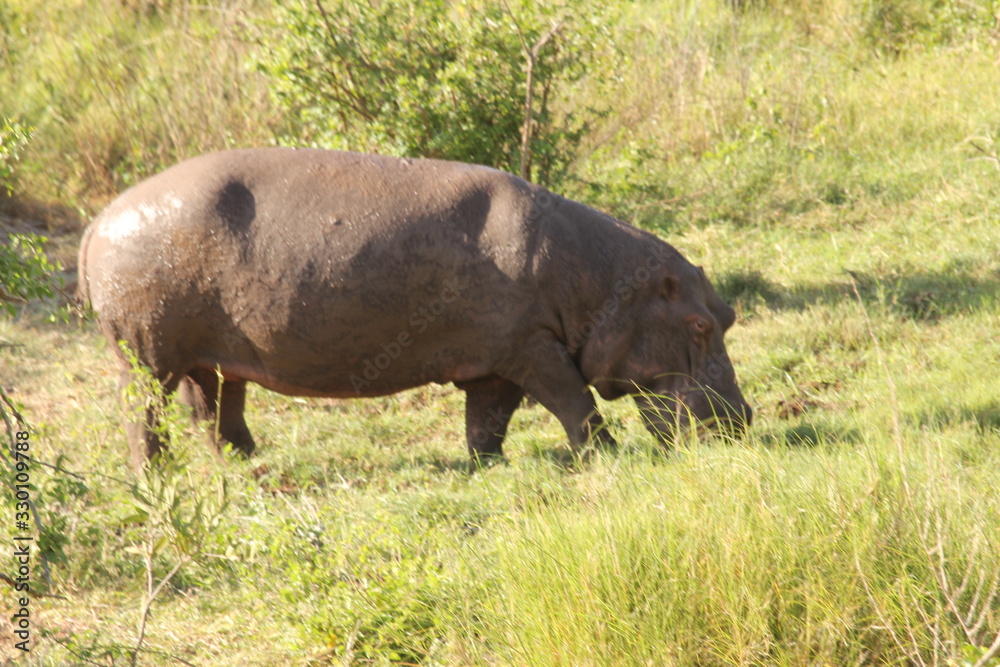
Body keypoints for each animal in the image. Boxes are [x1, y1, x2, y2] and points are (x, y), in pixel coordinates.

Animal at [77, 148, 751, 468]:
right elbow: (574, 401)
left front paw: (488, 465)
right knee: (144, 418)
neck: (602, 282)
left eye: (729, 315)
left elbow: (488, 419)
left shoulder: (495, 358)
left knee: (216, 413)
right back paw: (157, 477)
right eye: (698, 323)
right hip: (146, 356)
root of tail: (98, 222)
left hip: (214, 356)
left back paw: (251, 466)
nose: (743, 419)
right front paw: (605, 455)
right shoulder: (532, 346)